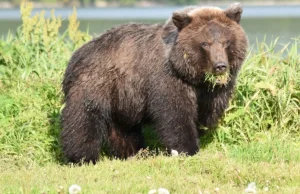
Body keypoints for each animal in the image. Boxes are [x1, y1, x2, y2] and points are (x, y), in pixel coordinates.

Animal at [61, 3, 248, 164]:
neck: (190, 75)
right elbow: (175, 114)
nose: (220, 66)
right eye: (205, 43)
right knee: (83, 119)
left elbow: (206, 112)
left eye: (225, 42)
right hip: (96, 83)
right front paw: (188, 148)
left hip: (122, 97)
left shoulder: (209, 91)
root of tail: (76, 55)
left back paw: (132, 151)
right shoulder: (167, 78)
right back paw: (82, 157)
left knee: (124, 128)